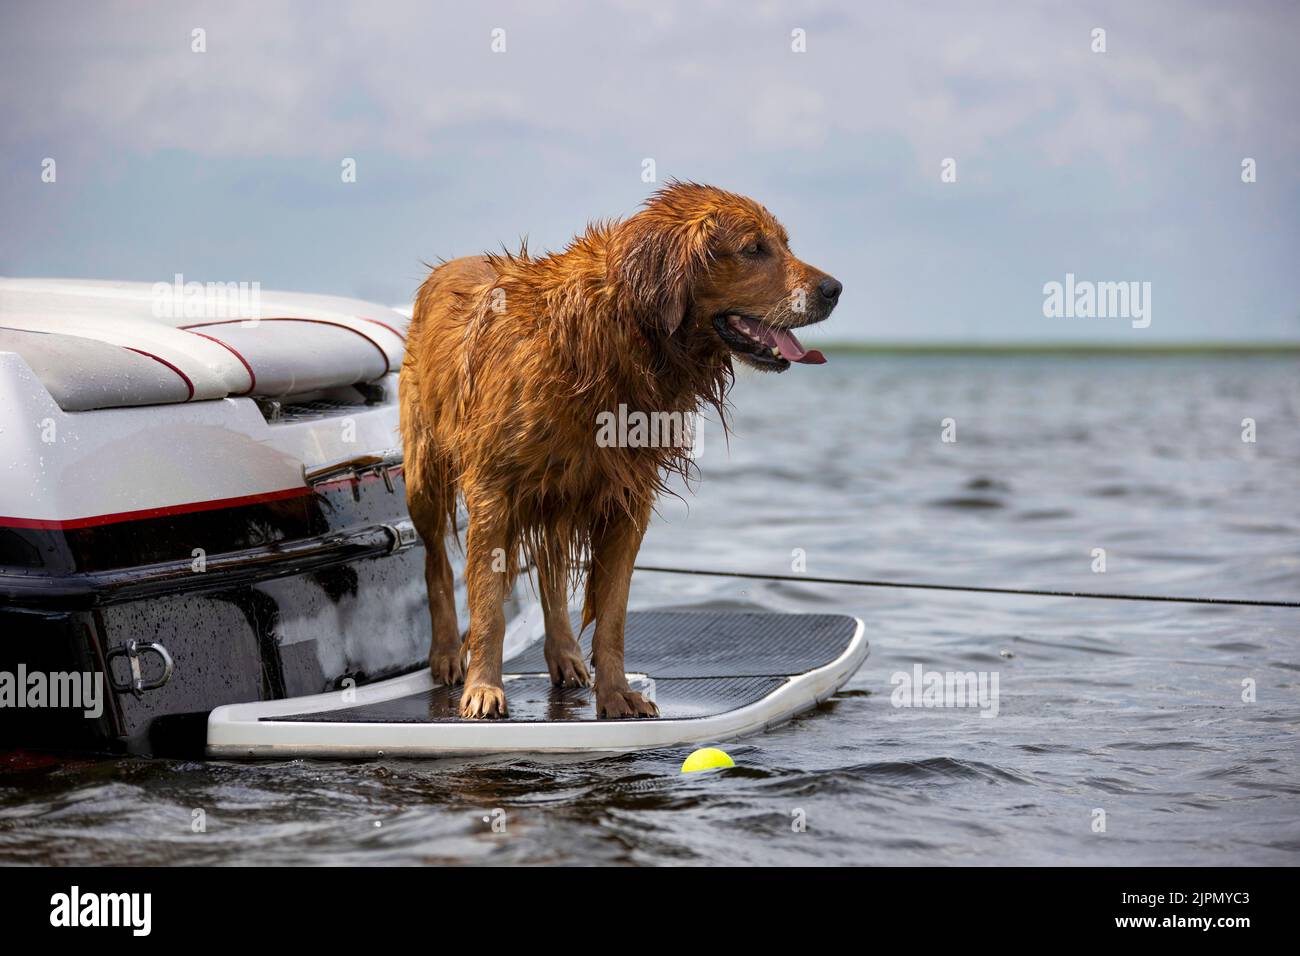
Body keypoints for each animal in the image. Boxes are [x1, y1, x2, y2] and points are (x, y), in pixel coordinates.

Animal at [397, 180, 842, 717]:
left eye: (784, 244)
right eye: (754, 248)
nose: (834, 289)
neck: (614, 341)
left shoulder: (626, 500)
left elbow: (611, 615)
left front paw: (615, 693)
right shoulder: (493, 491)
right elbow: (487, 607)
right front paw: (483, 688)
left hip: (552, 492)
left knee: (551, 573)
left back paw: (565, 654)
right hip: (426, 474)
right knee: (435, 562)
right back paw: (446, 653)